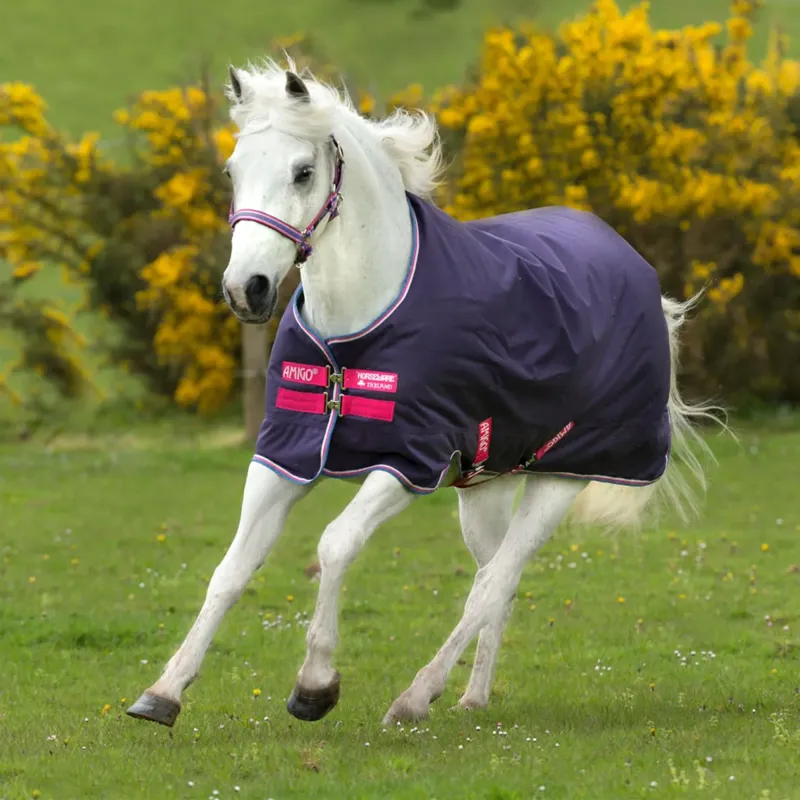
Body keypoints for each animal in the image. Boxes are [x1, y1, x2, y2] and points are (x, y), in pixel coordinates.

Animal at [126, 60, 719, 729]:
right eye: (232, 171)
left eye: (303, 172)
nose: (244, 290)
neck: (354, 336)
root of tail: (638, 272)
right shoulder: (284, 454)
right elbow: (231, 568)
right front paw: (163, 693)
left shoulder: (408, 462)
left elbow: (335, 545)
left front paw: (315, 687)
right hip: (487, 486)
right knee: (494, 581)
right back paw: (470, 697)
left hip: (563, 479)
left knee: (496, 581)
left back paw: (415, 697)